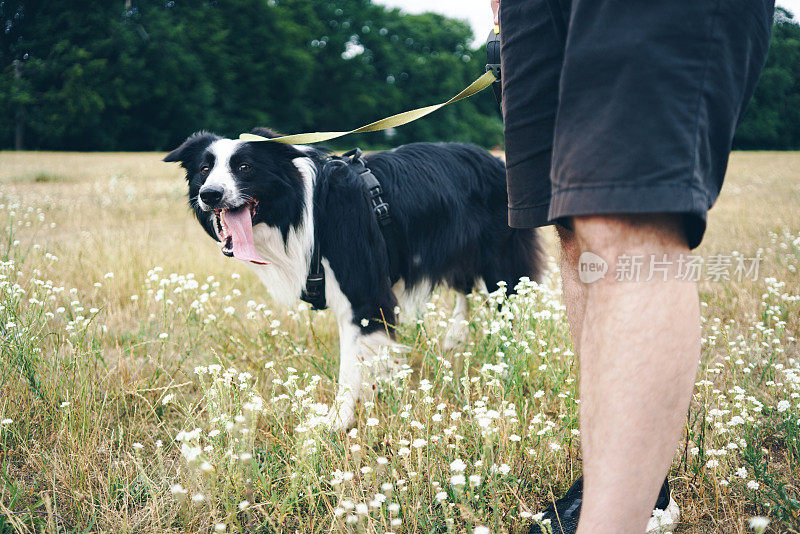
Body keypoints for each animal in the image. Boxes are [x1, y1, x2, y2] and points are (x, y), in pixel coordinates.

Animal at [165, 129, 540, 432]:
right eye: (204, 170)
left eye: (245, 167)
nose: (210, 195)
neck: (302, 209)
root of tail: (493, 158)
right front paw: (384, 385)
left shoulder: (363, 292)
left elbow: (350, 366)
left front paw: (338, 421)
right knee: (464, 287)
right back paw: (455, 338)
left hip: (501, 260)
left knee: (508, 305)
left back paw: (509, 359)